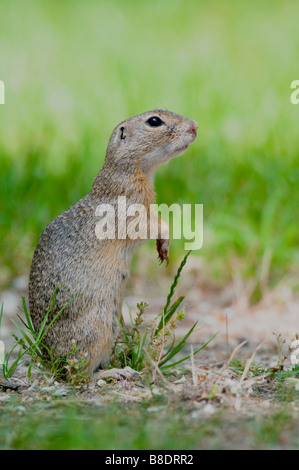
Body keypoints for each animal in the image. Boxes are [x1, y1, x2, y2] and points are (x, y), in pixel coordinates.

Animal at [29, 108, 198, 372]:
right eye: (154, 121)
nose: (195, 127)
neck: (127, 169)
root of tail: (49, 359)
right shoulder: (131, 210)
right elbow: (152, 225)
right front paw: (165, 240)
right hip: (97, 330)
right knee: (78, 371)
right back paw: (116, 372)